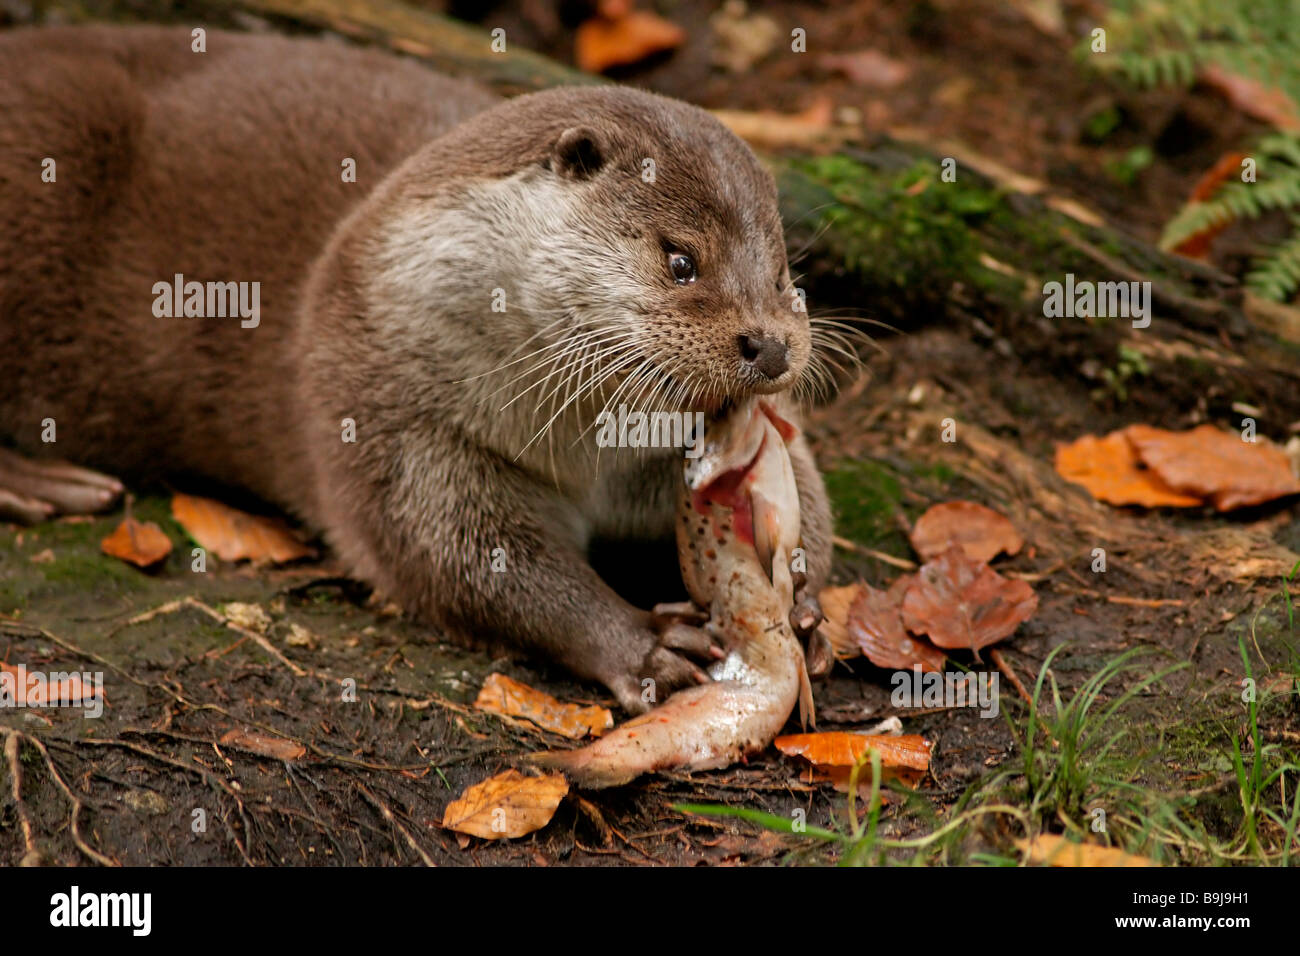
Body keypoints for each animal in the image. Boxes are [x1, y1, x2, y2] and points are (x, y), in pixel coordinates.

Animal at [0, 24, 832, 712]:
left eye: (783, 272)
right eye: (680, 260)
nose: (771, 346)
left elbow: (804, 479)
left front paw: (805, 599)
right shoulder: (387, 406)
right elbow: (455, 555)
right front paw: (642, 641)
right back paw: (42, 483)